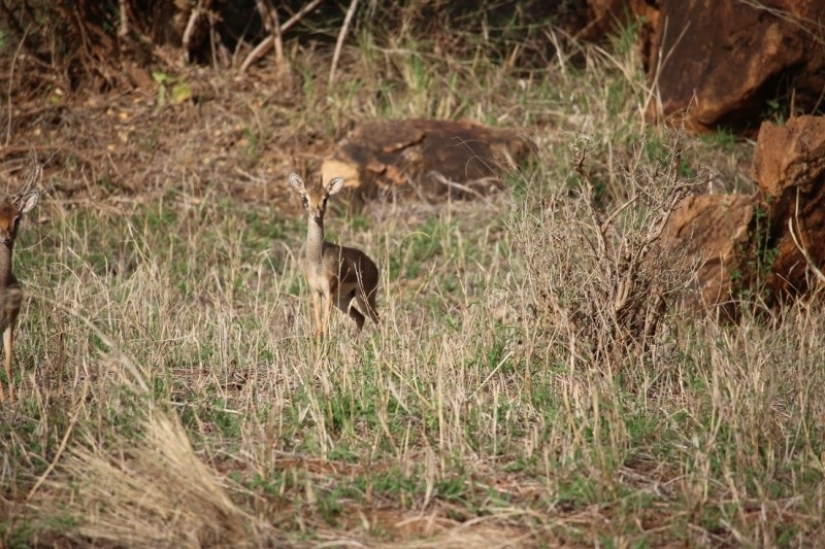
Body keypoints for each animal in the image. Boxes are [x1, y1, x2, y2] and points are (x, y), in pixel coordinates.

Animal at [288, 172, 379, 339]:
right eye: (305, 198)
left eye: (325, 198)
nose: (317, 214)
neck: (317, 260)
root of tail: (373, 266)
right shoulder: (316, 291)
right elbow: (319, 328)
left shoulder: (328, 291)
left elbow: (325, 327)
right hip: (343, 300)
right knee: (361, 318)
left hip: (364, 297)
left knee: (378, 320)